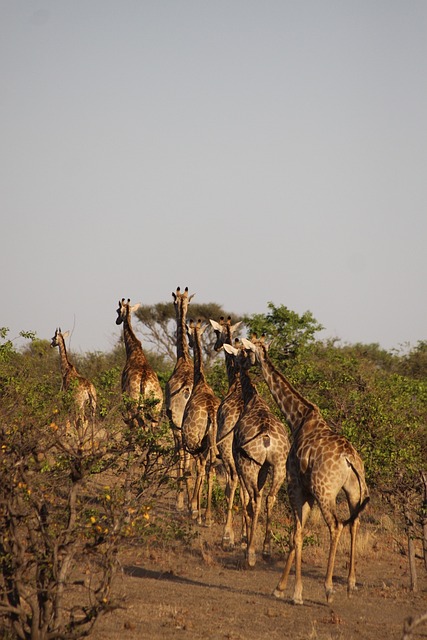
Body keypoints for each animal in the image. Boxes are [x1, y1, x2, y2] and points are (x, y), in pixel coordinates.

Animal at [115, 300, 164, 430]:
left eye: (117, 310)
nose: (117, 321)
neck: (133, 350)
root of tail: (144, 382)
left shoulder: (125, 397)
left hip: (134, 404)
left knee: (141, 425)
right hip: (156, 407)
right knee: (152, 426)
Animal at [224, 342, 290, 568]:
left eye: (238, 353)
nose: (236, 365)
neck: (252, 399)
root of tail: (266, 438)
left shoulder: (240, 460)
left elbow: (244, 497)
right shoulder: (266, 466)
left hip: (248, 464)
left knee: (254, 499)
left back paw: (250, 554)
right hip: (279, 465)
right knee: (269, 498)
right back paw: (266, 550)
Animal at [244, 338, 372, 604]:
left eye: (249, 349)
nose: (246, 360)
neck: (298, 419)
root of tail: (350, 460)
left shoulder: (295, 484)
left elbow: (296, 534)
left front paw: (296, 592)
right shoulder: (308, 491)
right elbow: (297, 535)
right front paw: (280, 587)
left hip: (325, 491)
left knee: (336, 525)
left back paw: (329, 588)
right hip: (354, 491)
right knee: (354, 523)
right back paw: (350, 584)